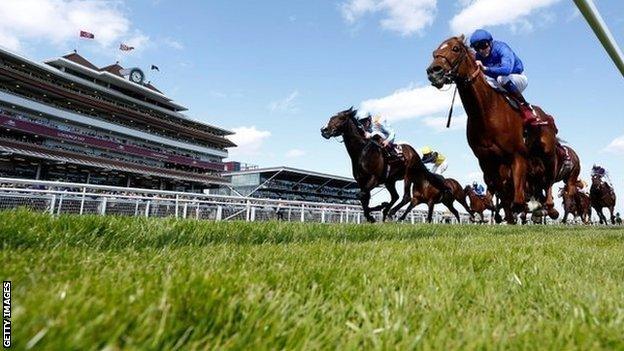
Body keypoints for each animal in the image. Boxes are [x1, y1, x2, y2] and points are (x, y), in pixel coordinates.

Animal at [426, 35, 564, 223]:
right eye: (434, 53)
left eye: (455, 48)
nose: (433, 71)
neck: (486, 112)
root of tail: (546, 117)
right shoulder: (486, 161)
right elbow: (500, 193)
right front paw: (504, 215)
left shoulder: (517, 155)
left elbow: (517, 198)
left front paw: (525, 208)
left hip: (547, 153)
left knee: (549, 179)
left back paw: (549, 207)